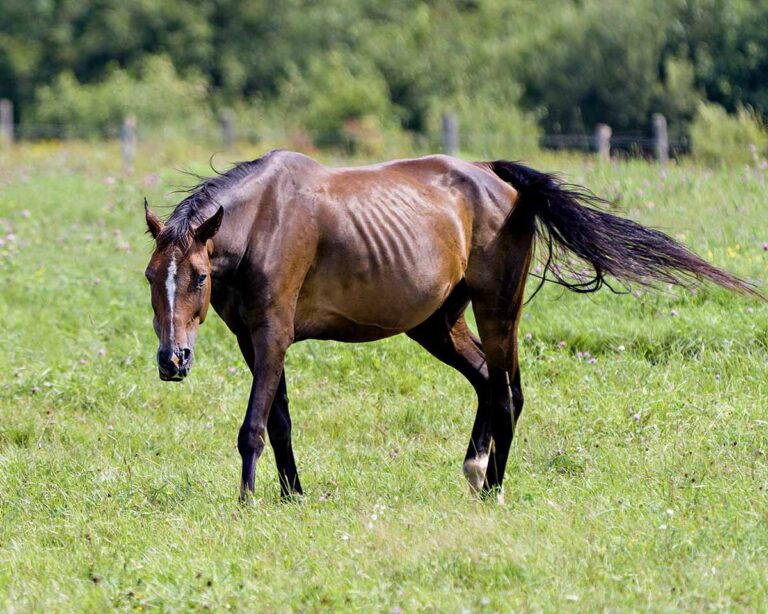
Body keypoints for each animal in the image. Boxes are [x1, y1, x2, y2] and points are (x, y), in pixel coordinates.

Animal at [143, 149, 759, 502]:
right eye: (151, 276)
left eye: (199, 276)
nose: (173, 362)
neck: (264, 221)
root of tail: (498, 177)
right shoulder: (254, 340)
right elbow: (281, 422)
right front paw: (293, 497)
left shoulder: (273, 333)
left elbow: (253, 425)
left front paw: (247, 504)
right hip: (439, 323)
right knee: (488, 382)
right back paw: (475, 468)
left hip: (497, 309)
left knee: (508, 392)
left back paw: (494, 487)